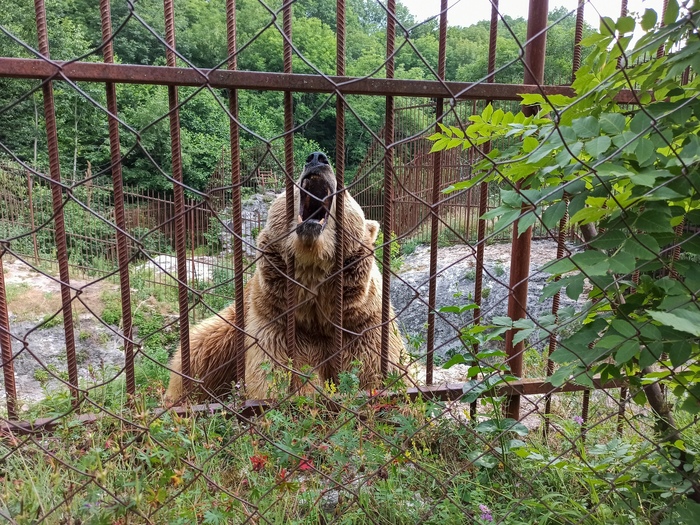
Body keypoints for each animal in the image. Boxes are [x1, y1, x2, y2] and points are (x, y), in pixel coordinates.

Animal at [165, 151, 405, 402]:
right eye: (292, 184)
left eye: (345, 189)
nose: (317, 158)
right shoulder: (276, 322)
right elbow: (275, 374)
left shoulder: (362, 323)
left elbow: (375, 370)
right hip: (230, 327)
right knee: (198, 349)